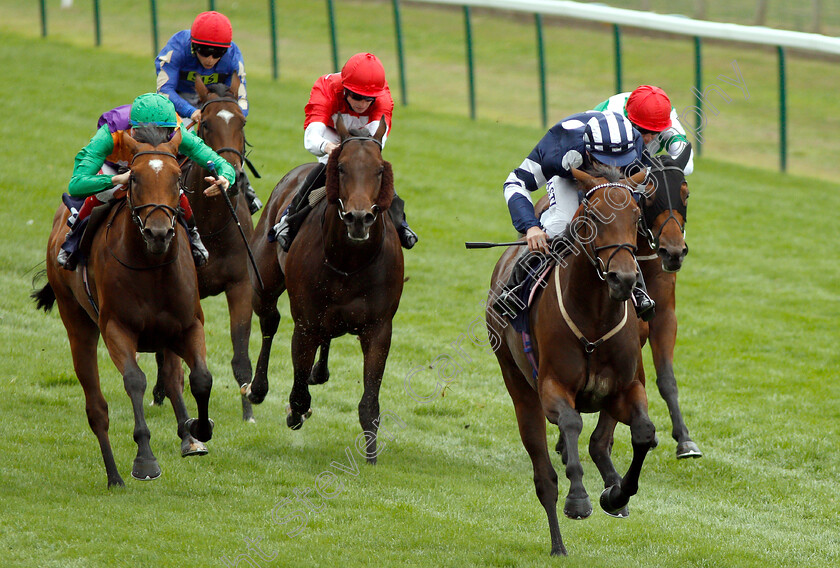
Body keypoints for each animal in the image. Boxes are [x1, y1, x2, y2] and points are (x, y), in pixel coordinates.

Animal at [32, 129, 217, 488]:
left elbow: (201, 378)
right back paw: (114, 475)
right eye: (134, 179)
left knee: (173, 378)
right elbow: (134, 380)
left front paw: (198, 429)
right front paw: (145, 459)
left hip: (165, 335)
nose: (158, 233)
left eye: (177, 179)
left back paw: (188, 436)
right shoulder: (116, 327)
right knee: (96, 409)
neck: (152, 267)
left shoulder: (189, 325)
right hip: (76, 321)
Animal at [151, 75, 256, 422]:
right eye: (207, 123)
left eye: (242, 122)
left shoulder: (241, 285)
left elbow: (241, 355)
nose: (233, 178)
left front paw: (248, 410)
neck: (212, 222)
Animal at [243, 116, 404, 462]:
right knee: (269, 322)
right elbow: (299, 392)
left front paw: (371, 456)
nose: (359, 218)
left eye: (379, 170)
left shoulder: (379, 327)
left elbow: (370, 402)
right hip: (263, 282)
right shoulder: (306, 323)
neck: (349, 259)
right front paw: (295, 411)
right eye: (341, 167)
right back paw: (257, 388)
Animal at [488, 168, 660, 556]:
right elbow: (569, 423)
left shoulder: (624, 389)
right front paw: (579, 500)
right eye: (594, 217)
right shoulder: (553, 386)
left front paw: (616, 494)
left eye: (636, 217)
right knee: (544, 477)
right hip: (519, 387)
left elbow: (643, 432)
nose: (624, 278)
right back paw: (557, 544)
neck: (594, 316)